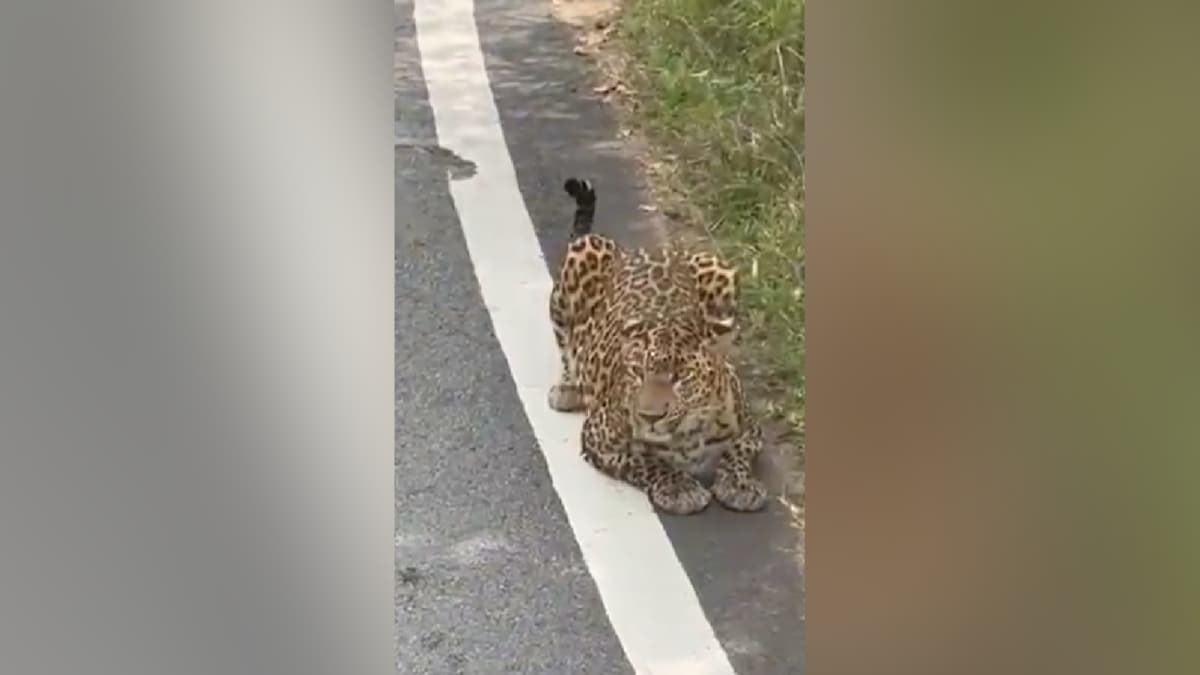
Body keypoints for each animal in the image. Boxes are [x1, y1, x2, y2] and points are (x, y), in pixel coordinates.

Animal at [547, 177, 767, 515]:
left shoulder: (750, 428)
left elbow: (739, 453)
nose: (650, 416)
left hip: (719, 268)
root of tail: (631, 250)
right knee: (567, 345)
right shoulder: (598, 435)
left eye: (680, 378)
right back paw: (567, 390)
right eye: (638, 373)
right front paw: (679, 488)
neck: (688, 432)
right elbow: (646, 462)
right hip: (580, 258)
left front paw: (739, 485)